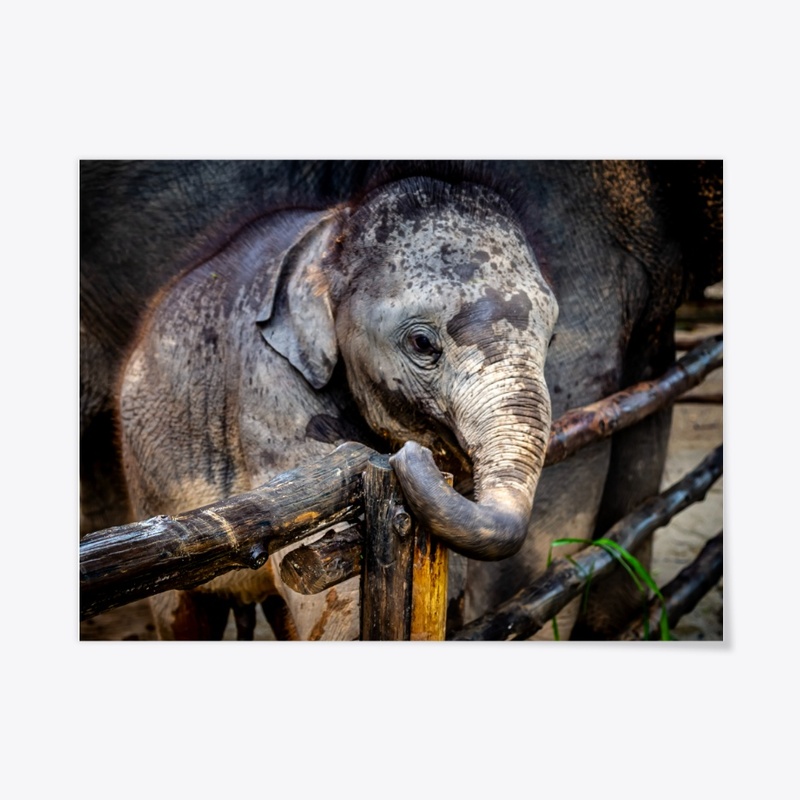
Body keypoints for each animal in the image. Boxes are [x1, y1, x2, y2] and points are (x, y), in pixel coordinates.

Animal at [80, 160, 722, 640]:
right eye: (421, 343)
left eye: (552, 337)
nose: (412, 456)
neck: (333, 231)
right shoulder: (268, 389)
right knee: (188, 612)